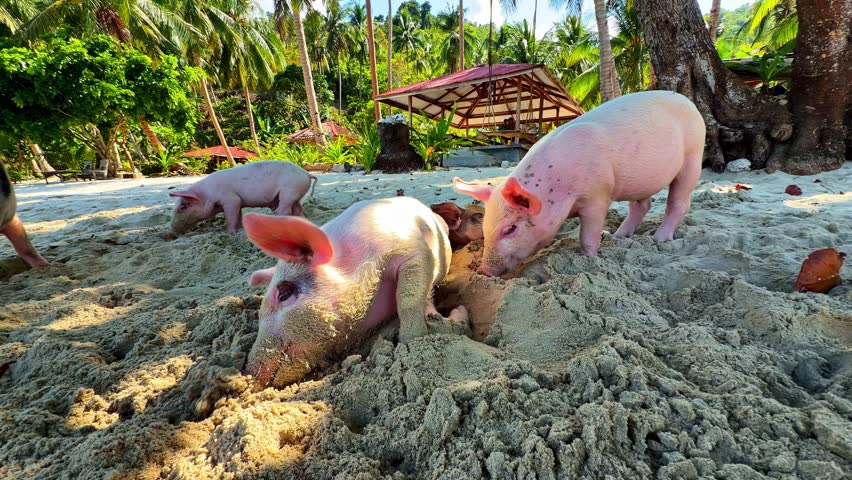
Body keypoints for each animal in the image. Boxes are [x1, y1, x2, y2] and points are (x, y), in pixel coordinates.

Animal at [169, 160, 317, 235]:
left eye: (183, 206)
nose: (172, 231)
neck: (207, 194)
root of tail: (306, 173)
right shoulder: (238, 202)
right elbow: (238, 215)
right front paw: (240, 229)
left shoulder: (230, 199)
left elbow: (230, 217)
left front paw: (230, 234)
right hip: (296, 193)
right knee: (297, 208)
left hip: (289, 190)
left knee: (284, 209)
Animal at [453, 90, 705, 277]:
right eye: (484, 227)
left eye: (510, 229)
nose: (484, 270)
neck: (558, 188)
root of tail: (689, 103)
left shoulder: (598, 195)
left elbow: (587, 235)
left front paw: (589, 260)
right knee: (641, 206)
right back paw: (618, 236)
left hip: (693, 156)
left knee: (679, 203)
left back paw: (659, 239)